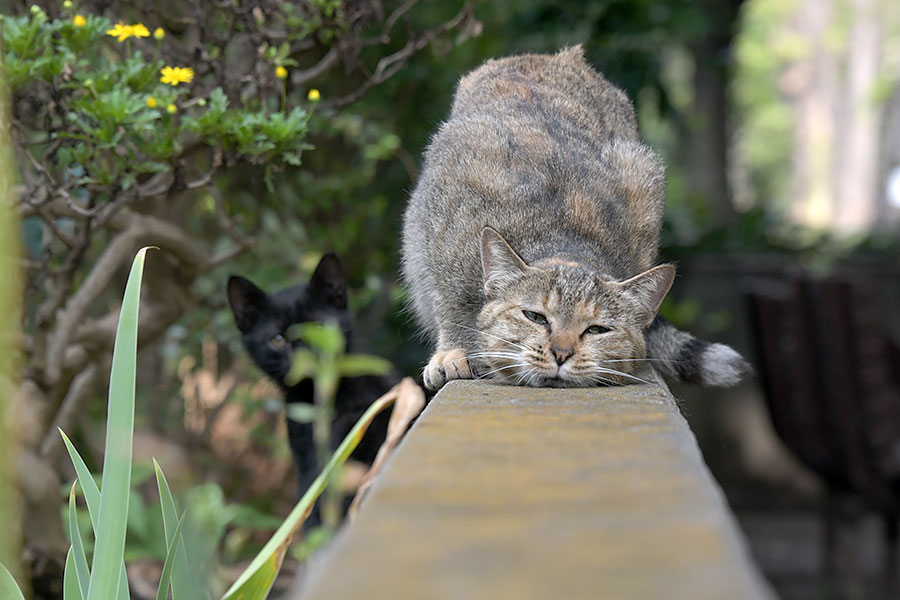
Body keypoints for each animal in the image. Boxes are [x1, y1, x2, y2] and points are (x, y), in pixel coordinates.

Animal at [404, 48, 748, 394]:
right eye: (535, 317)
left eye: (596, 330)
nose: (561, 352)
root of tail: (551, 55)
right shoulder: (446, 219)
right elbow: (450, 303)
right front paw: (454, 351)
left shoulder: (642, 188)